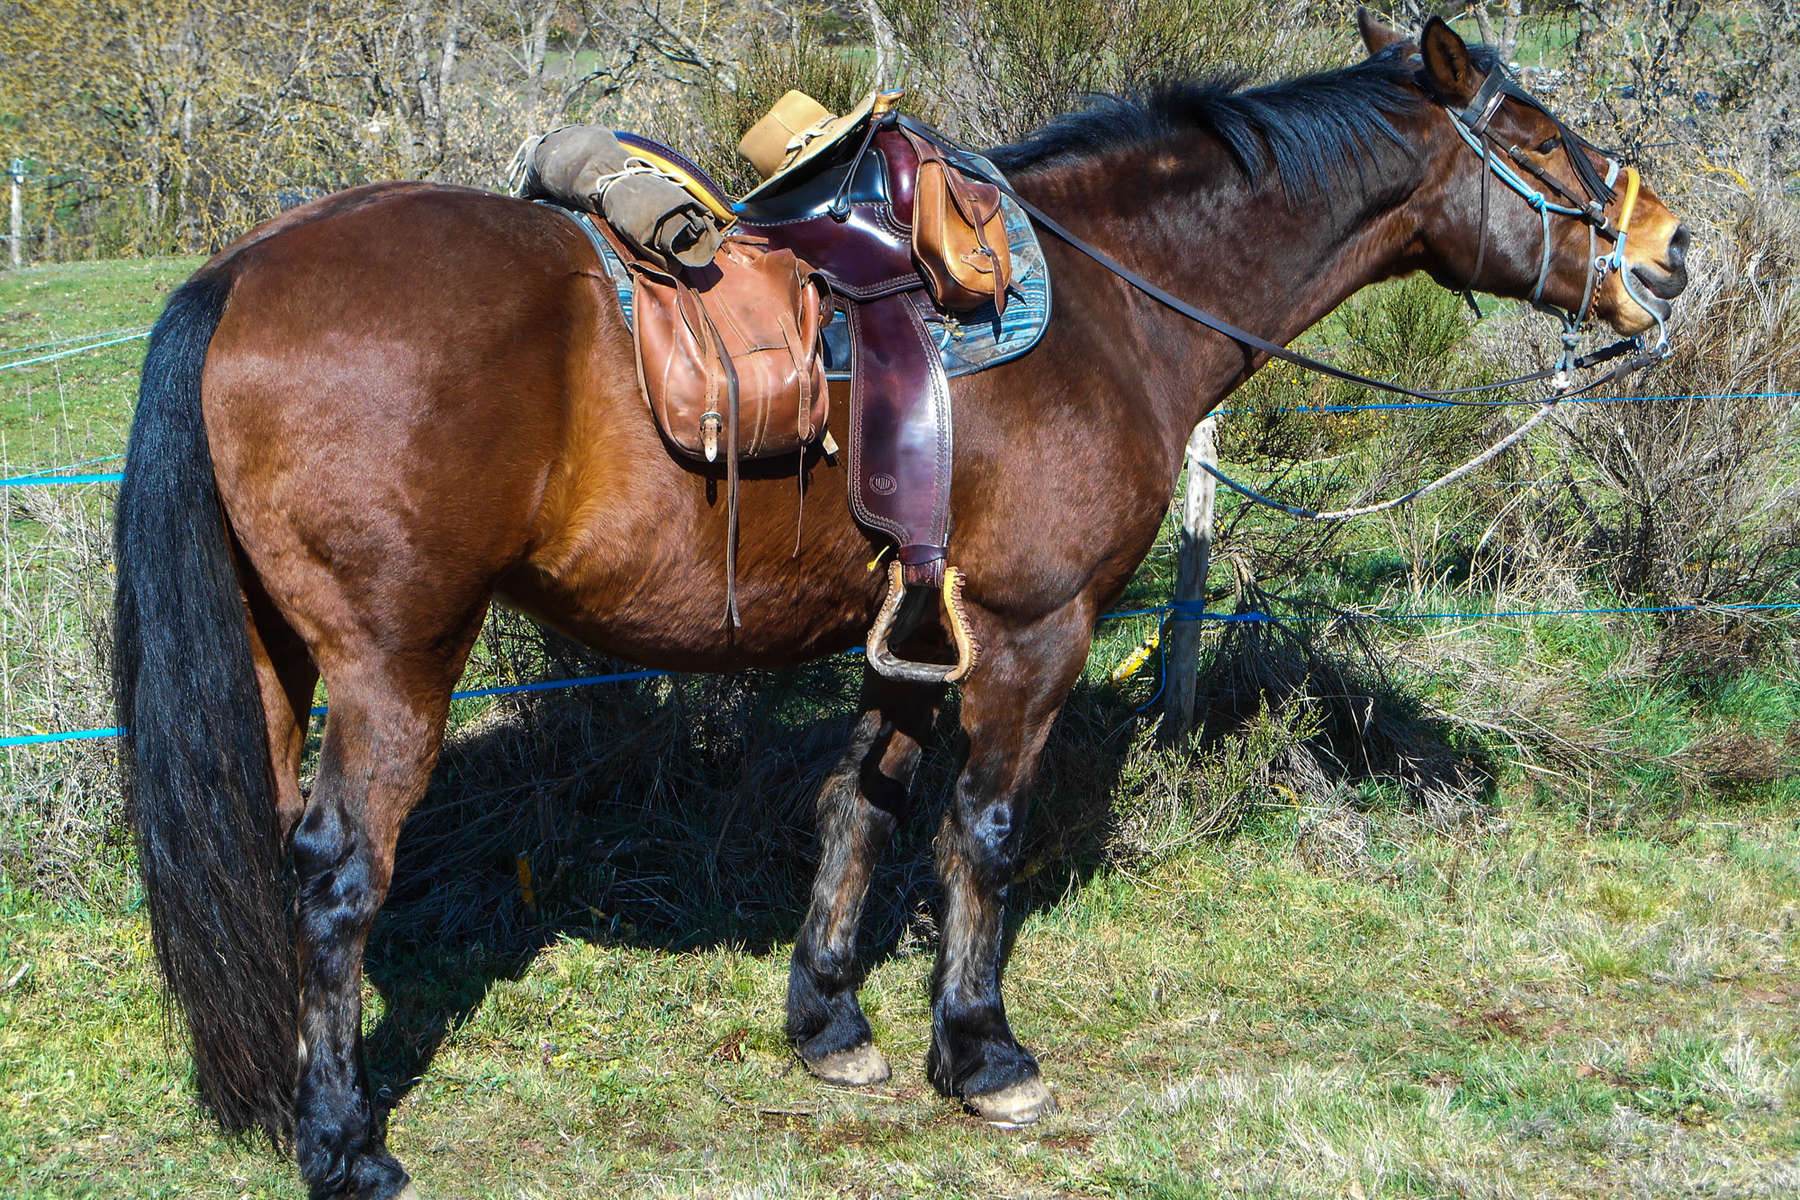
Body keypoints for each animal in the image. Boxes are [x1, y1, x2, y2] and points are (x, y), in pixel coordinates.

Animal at [112, 11, 1684, 1200]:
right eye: (1538, 139)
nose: (1666, 252)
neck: (1111, 306)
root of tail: (244, 270)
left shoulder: (913, 632)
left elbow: (858, 812)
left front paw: (829, 1022)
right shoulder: (1035, 630)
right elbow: (981, 831)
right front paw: (980, 1052)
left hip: (277, 660)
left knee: (271, 854)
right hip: (393, 664)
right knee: (336, 879)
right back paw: (342, 1146)